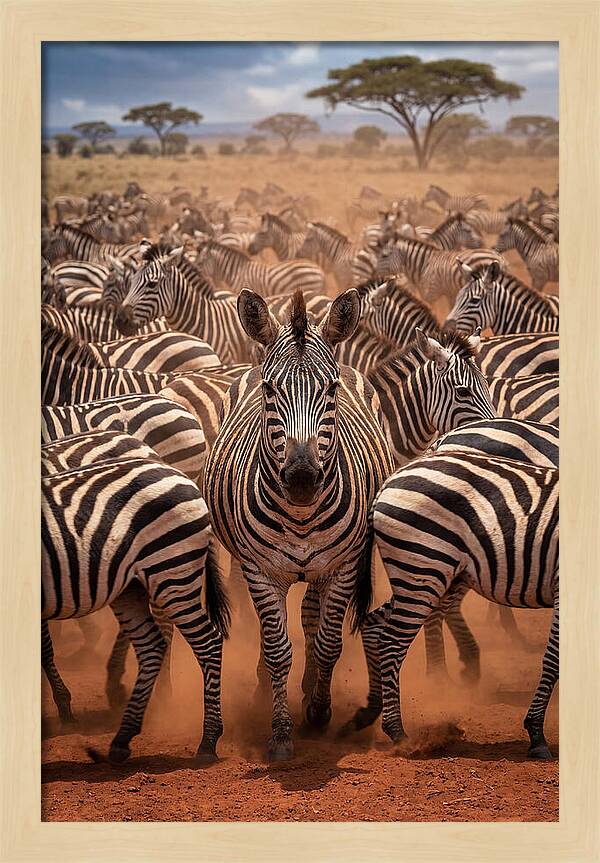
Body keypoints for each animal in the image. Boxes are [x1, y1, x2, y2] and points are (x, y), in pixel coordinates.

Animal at [42, 452, 230, 763]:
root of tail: (181, 475)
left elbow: (45, 649)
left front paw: (64, 708)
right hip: (131, 586)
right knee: (152, 645)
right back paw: (122, 737)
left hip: (171, 571)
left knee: (208, 642)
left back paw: (208, 741)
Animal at [204, 289, 394, 760]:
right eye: (270, 390)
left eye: (331, 390)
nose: (303, 479)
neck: (302, 516)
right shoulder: (259, 570)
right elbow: (276, 649)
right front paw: (281, 733)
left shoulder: (344, 566)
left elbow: (328, 642)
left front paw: (319, 712)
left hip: (326, 567)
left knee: (311, 615)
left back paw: (310, 689)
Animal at [358, 450, 558, 760]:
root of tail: (389, 481)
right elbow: (553, 660)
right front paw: (536, 734)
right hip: (423, 568)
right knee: (391, 642)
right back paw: (398, 733)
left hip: (423, 575)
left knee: (372, 625)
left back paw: (370, 710)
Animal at [376, 235, 506, 305]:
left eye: (384, 255)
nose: (374, 273)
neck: (424, 265)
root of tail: (499, 257)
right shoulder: (450, 294)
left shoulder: (431, 294)